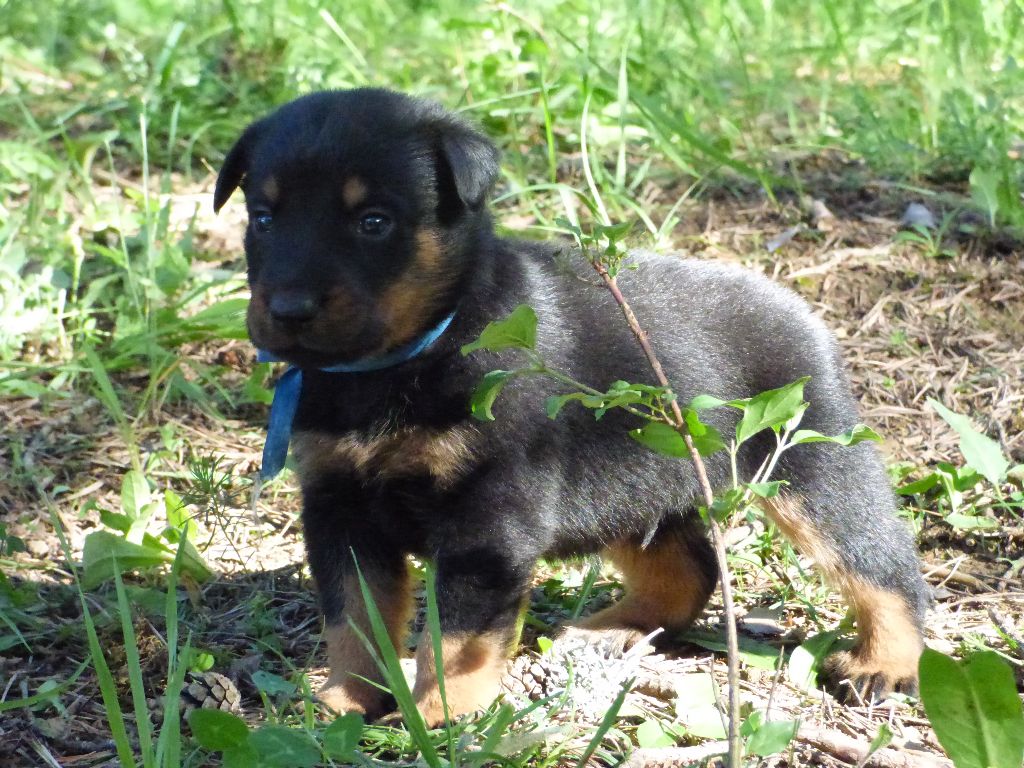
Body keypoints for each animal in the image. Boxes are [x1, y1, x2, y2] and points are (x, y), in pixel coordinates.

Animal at [214, 90, 929, 729]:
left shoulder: (490, 518)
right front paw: (347, 698)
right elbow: (353, 616)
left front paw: (445, 710)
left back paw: (884, 664)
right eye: (263, 218)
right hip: (639, 488)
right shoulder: (339, 505)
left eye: (374, 221)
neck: (409, 354)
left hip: (812, 470)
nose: (288, 310)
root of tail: (798, 305)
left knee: (883, 567)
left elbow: (461, 632)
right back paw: (611, 630)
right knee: (686, 573)